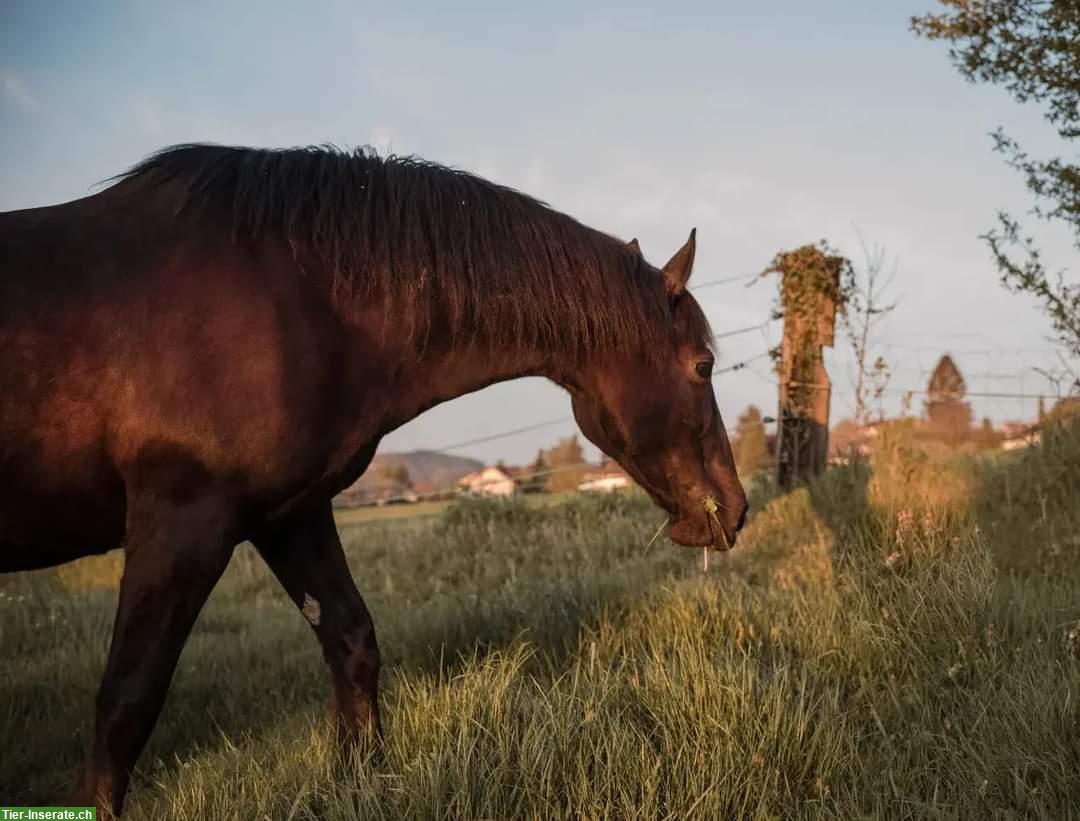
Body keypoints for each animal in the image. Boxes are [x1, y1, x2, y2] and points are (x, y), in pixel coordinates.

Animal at [0, 142, 747, 816]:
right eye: (703, 365)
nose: (735, 509)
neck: (290, 295)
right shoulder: (182, 518)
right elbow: (128, 695)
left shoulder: (290, 513)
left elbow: (352, 641)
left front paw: (359, 779)